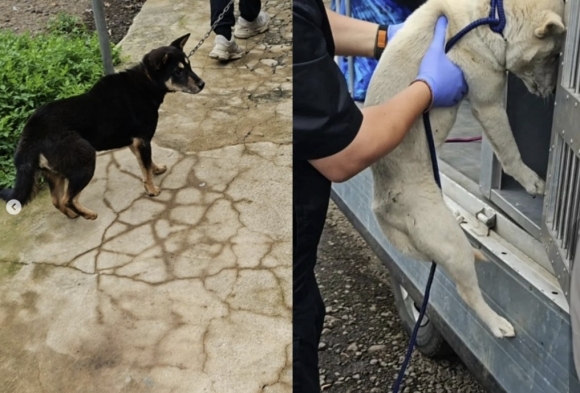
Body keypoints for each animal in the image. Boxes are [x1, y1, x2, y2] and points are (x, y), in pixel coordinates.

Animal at [0, 34, 204, 219]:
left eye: (189, 66)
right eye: (178, 72)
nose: (202, 84)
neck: (146, 82)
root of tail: (31, 133)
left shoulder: (135, 143)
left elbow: (145, 164)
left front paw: (155, 170)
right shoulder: (143, 140)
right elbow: (145, 168)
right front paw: (152, 190)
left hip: (55, 172)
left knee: (57, 200)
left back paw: (73, 215)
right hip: (85, 160)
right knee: (68, 198)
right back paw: (88, 214)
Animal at [368, 0, 568, 336]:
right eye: (553, 55)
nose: (554, 91)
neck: (494, 17)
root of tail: (381, 208)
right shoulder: (489, 105)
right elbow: (509, 151)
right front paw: (531, 182)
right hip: (452, 245)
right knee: (466, 292)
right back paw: (498, 324)